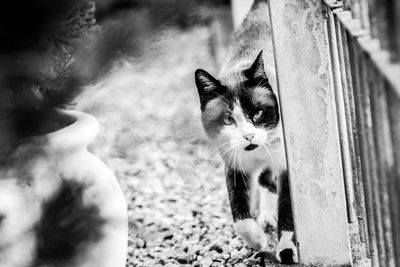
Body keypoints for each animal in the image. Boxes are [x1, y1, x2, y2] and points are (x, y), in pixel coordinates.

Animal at [194, 0, 296, 264]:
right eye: (229, 119)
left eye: (258, 113)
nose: (248, 136)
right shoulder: (235, 166)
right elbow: (239, 215)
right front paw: (258, 241)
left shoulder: (288, 168)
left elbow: (288, 211)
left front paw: (286, 250)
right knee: (265, 179)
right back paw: (266, 217)